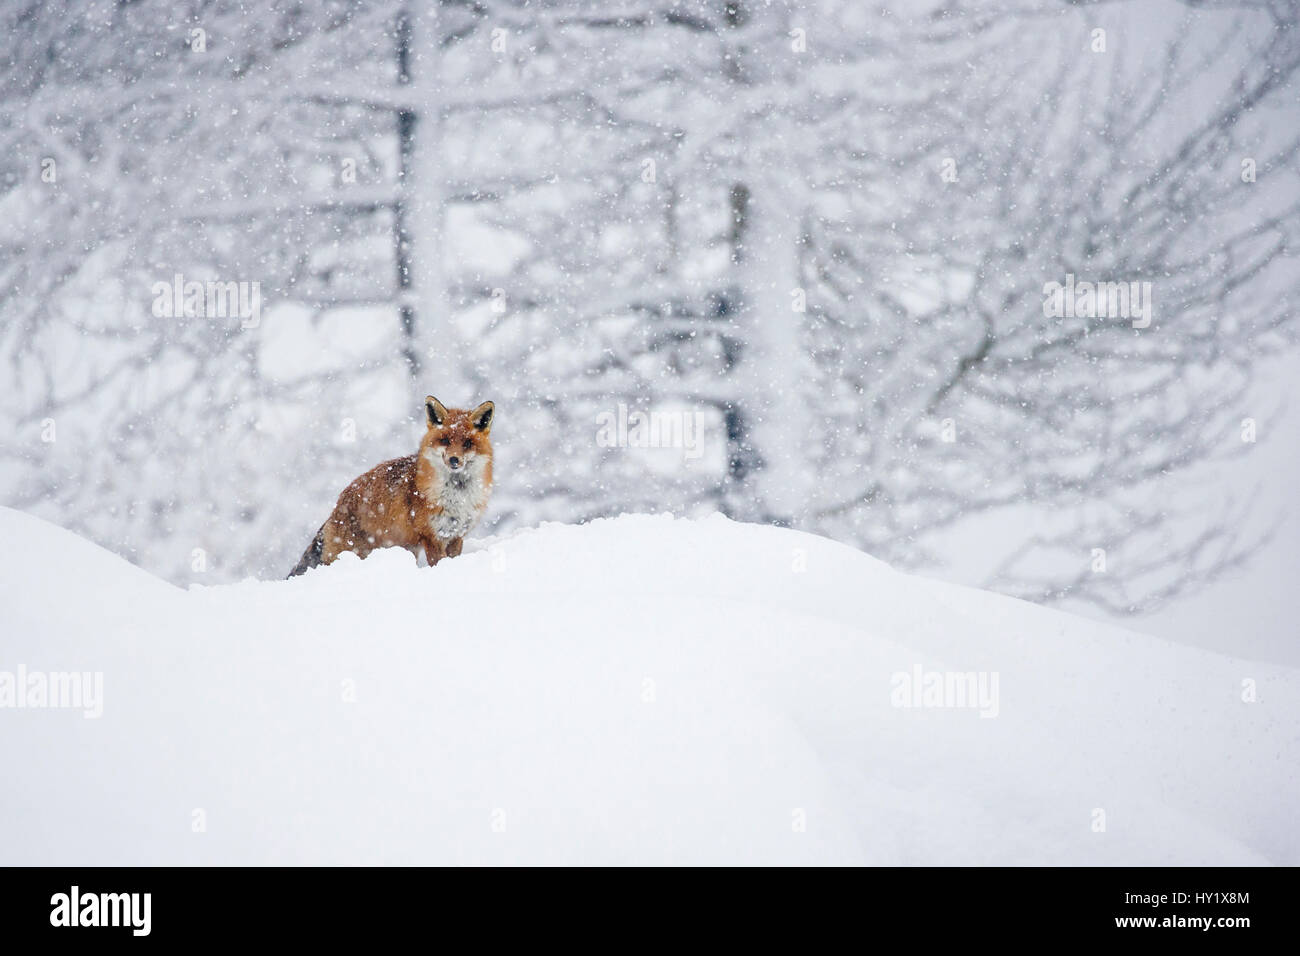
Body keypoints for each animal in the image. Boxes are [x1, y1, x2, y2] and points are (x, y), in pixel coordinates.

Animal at [288, 395, 491, 574]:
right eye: (445, 440)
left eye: (467, 443)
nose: (454, 460)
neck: (457, 498)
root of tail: (336, 507)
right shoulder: (431, 537)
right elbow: (438, 562)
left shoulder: (456, 535)